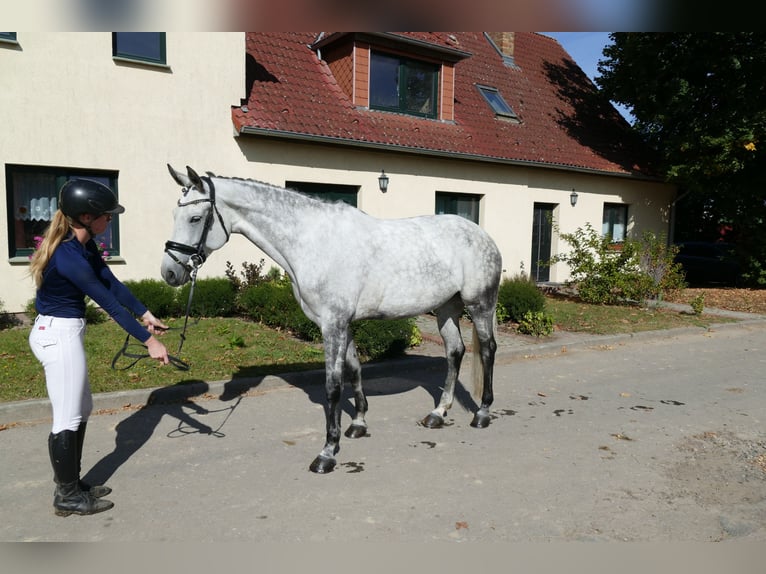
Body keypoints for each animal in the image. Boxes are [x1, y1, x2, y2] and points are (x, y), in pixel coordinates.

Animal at [160, 164, 504, 474]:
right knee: (455, 352)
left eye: (195, 218)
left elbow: (333, 386)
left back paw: (482, 413)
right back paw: (438, 413)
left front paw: (327, 452)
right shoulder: (343, 324)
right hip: (446, 308)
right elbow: (354, 370)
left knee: (487, 350)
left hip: (480, 304)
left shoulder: (333, 325)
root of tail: (482, 235)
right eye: (174, 215)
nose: (170, 272)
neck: (313, 242)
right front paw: (358, 424)